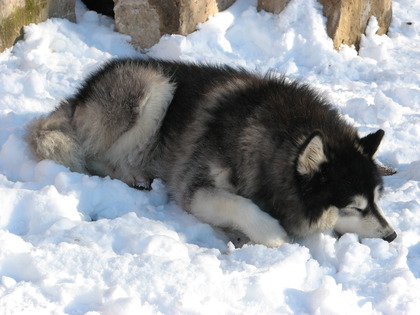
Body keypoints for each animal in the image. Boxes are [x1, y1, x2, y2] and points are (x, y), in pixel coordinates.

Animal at [27, 58, 398, 247]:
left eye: (377, 201)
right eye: (355, 207)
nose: (392, 235)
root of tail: (80, 94)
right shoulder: (193, 188)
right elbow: (238, 205)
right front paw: (271, 232)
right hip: (155, 87)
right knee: (95, 156)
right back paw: (133, 174)